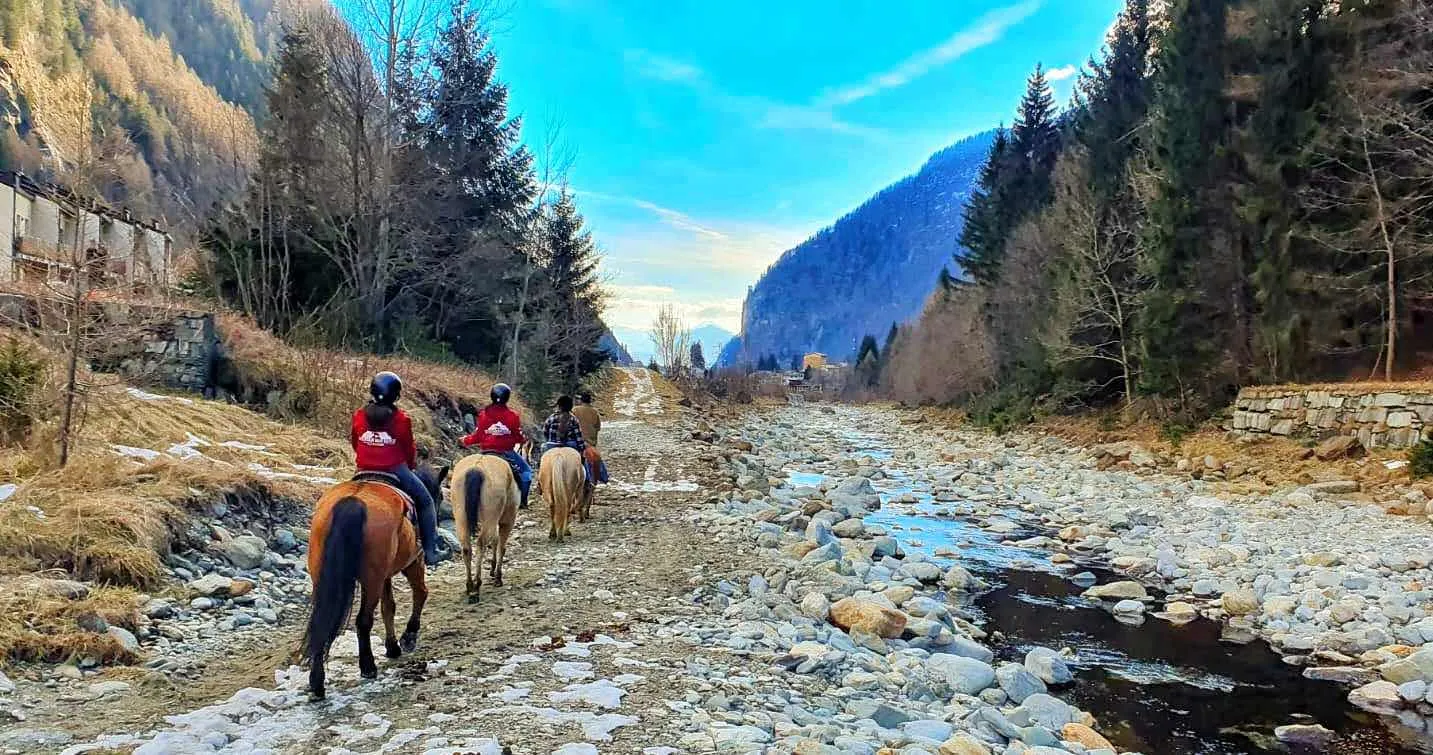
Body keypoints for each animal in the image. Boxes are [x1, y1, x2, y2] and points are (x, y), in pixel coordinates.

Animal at [301, 464, 447, 700]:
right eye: (441, 496)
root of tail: (352, 501)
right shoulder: (414, 561)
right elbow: (420, 593)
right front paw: (407, 637)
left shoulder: (385, 576)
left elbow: (389, 607)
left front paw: (392, 646)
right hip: (373, 578)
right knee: (364, 620)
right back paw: (368, 666)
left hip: (329, 576)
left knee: (321, 623)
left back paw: (316, 682)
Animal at [449, 453, 520, 602]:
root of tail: (476, 468)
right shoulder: (507, 522)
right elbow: (501, 547)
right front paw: (498, 577)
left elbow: (495, 541)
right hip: (490, 518)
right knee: (481, 544)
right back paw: (477, 586)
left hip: (461, 518)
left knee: (466, 548)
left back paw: (470, 585)